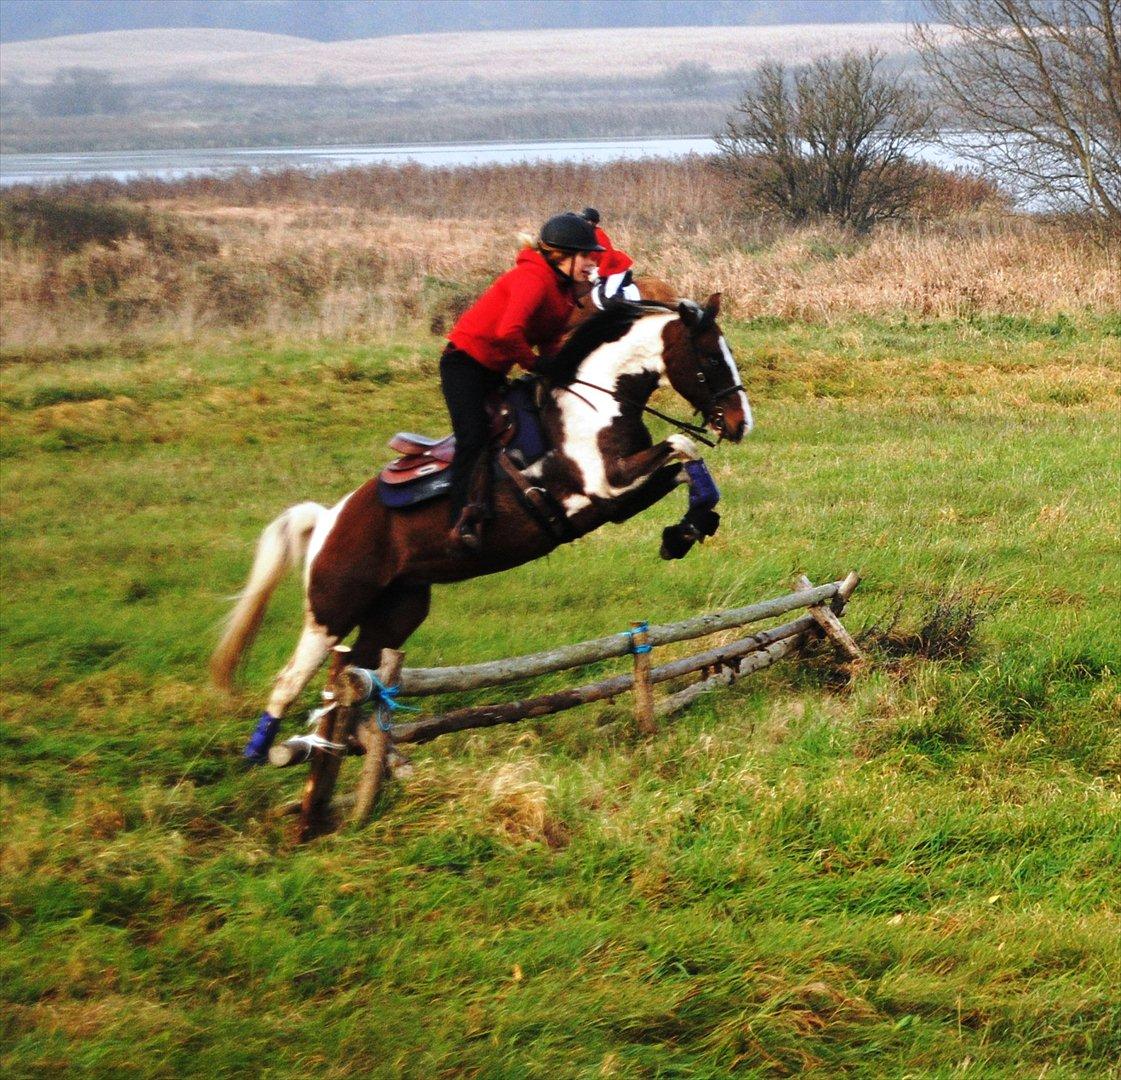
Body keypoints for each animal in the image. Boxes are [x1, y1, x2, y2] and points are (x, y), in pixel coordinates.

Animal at [210, 287, 753, 758]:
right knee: (289, 680)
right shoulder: (604, 487)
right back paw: (262, 755)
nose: (741, 422)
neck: (595, 405)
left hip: (398, 609)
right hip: (332, 607)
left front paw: (685, 531)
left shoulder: (616, 502)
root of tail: (327, 520)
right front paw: (687, 526)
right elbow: (682, 447)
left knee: (357, 677)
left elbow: (687, 465)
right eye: (710, 359)